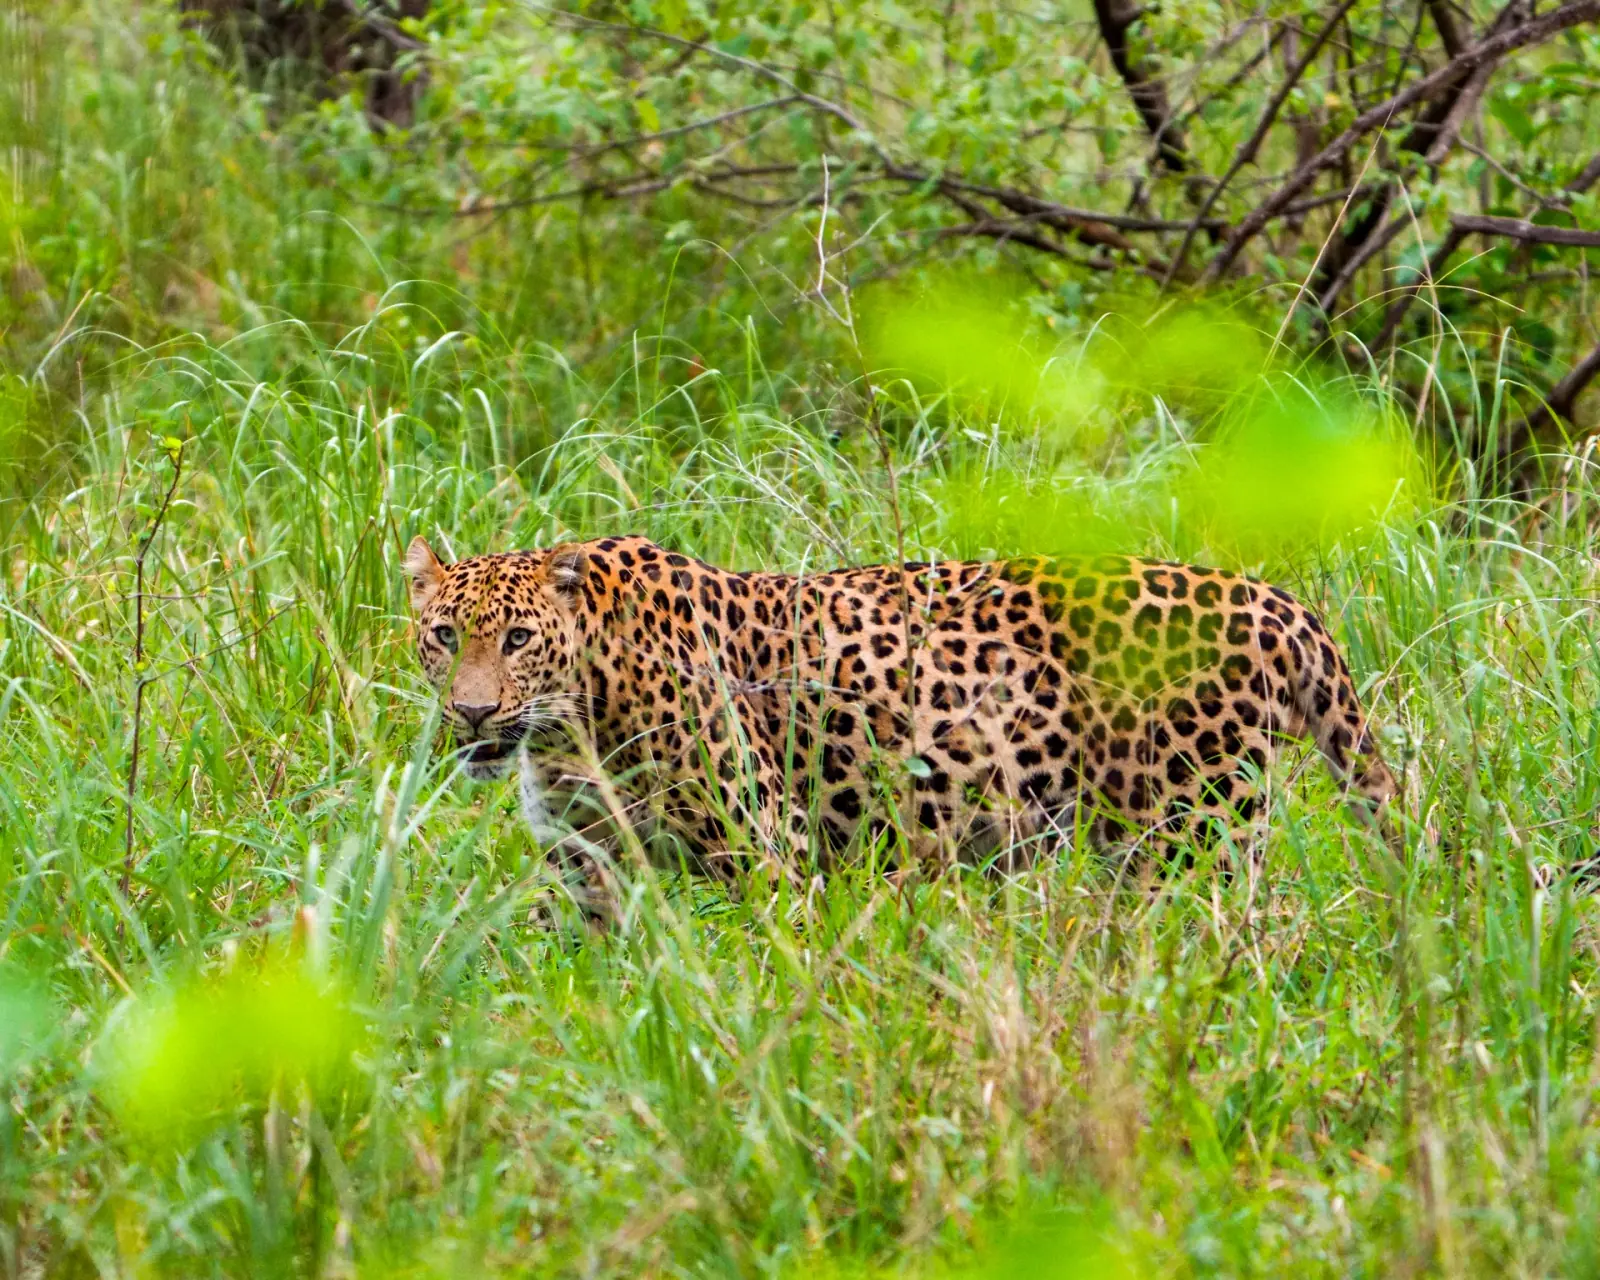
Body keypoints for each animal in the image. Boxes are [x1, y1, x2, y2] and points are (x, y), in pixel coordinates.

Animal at [404, 534, 1396, 895]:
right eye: (444, 635)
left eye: (520, 639)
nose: (473, 713)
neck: (573, 724)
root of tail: (1271, 597)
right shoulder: (587, 870)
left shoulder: (767, 853)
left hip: (1201, 832)